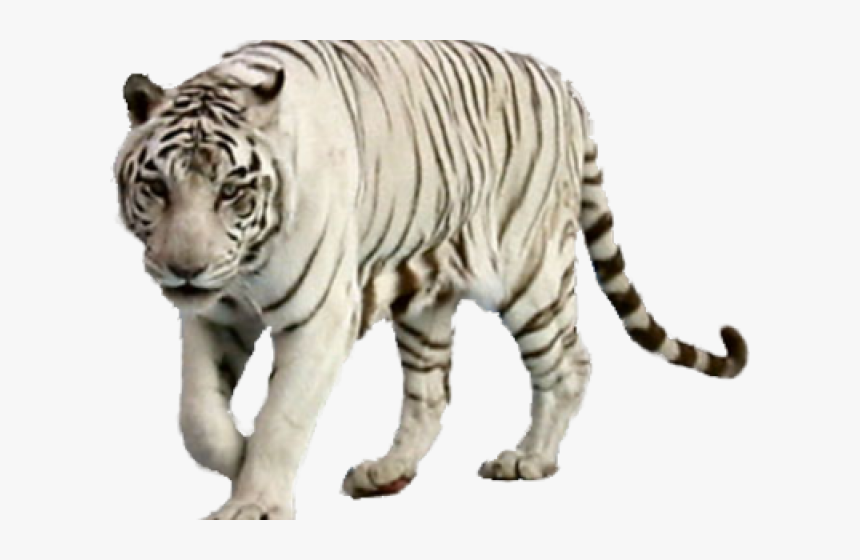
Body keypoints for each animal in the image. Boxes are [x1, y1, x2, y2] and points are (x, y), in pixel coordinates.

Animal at [114, 40, 748, 520]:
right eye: (157, 187)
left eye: (231, 192)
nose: (185, 268)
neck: (245, 266)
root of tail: (562, 83)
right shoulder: (215, 314)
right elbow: (197, 416)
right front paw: (237, 458)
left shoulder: (320, 317)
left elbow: (281, 414)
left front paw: (254, 506)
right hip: (427, 302)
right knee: (432, 393)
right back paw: (388, 473)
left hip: (530, 277)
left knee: (571, 363)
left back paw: (530, 460)